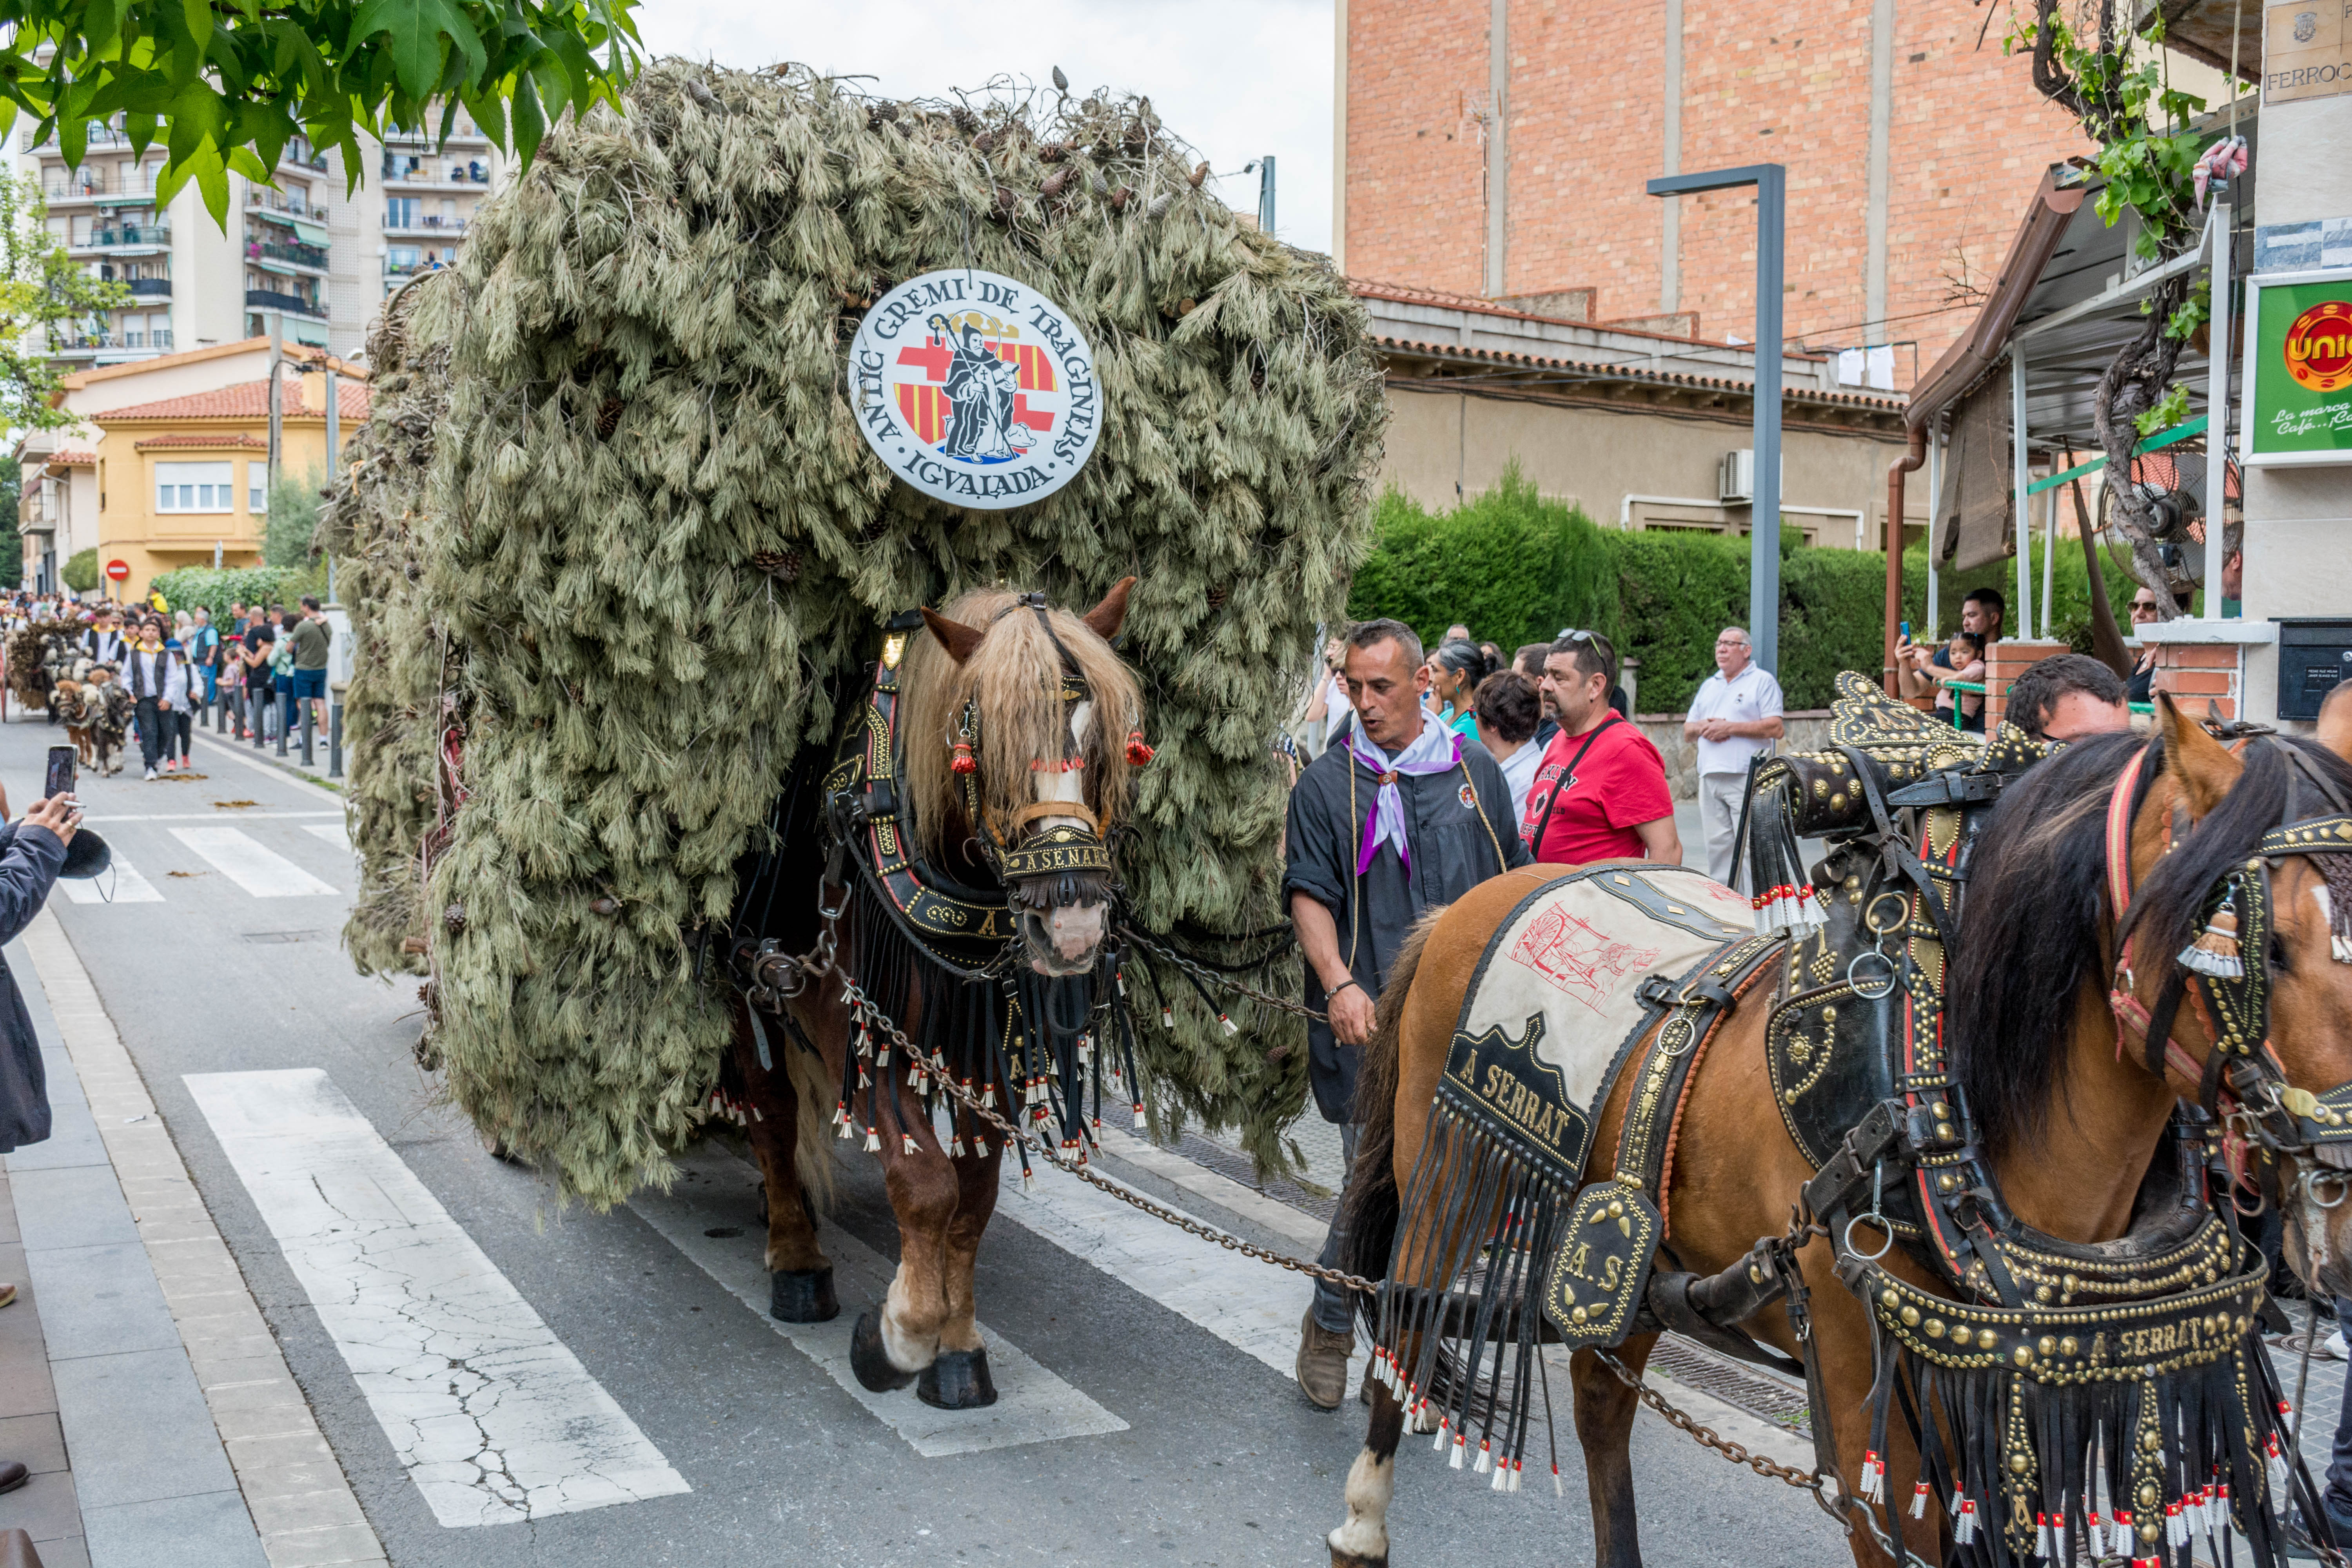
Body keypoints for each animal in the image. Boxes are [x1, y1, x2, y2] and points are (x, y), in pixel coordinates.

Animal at [724, 576, 1148, 1410]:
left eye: (1105, 747)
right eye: (986, 743)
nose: (1073, 926)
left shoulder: (983, 1045)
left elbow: (973, 1195)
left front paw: (957, 1349)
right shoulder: (871, 1032)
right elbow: (925, 1187)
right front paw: (897, 1337)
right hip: (743, 984)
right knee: (769, 1110)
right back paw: (795, 1258)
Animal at [1327, 705, 2352, 1561]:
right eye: (2261, 943)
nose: (2340, 1199)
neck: (1941, 1098)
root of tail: (1476, 897)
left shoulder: (2016, 1388)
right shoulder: (1874, 1398)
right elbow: (1906, 1535)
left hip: (1622, 1260)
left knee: (1599, 1398)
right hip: (1446, 1169)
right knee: (1406, 1325)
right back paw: (1362, 1520)